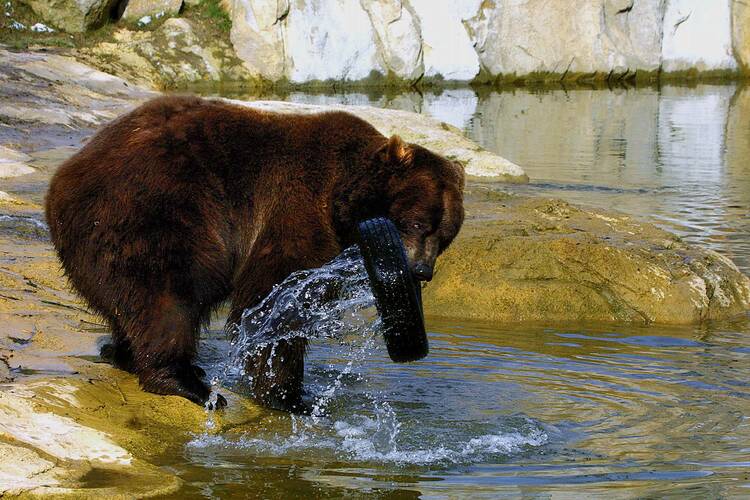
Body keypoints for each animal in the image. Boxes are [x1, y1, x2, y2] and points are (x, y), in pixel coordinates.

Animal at [47, 95, 464, 412]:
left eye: (445, 236)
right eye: (416, 223)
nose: (422, 270)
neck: (341, 200)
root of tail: (65, 177)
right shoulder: (298, 205)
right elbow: (273, 297)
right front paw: (291, 396)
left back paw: (128, 354)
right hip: (154, 213)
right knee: (165, 298)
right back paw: (186, 382)